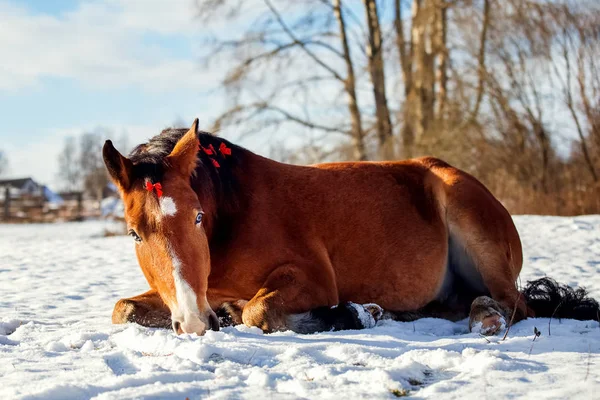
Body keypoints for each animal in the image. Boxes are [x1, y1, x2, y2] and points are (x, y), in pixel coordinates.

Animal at [104, 120, 600, 336]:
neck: (235, 212)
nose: (192, 321)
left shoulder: (312, 278)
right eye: (134, 233)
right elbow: (122, 308)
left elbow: (257, 312)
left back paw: (485, 318)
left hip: (480, 241)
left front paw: (347, 314)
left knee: (516, 306)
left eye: (198, 218)